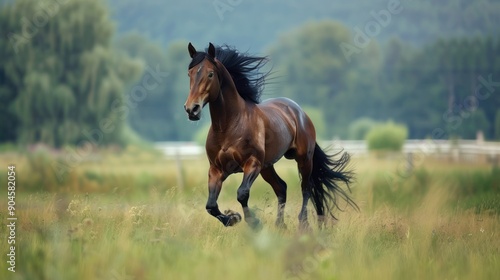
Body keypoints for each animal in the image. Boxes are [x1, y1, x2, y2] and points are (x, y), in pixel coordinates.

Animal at [184, 42, 360, 230]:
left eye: (210, 74)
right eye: (190, 74)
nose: (191, 109)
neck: (228, 126)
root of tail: (300, 112)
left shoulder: (252, 163)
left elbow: (242, 193)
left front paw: (253, 223)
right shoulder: (216, 170)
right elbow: (210, 205)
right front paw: (232, 218)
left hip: (303, 159)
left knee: (306, 188)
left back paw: (303, 224)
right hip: (267, 167)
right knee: (282, 187)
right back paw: (280, 225)